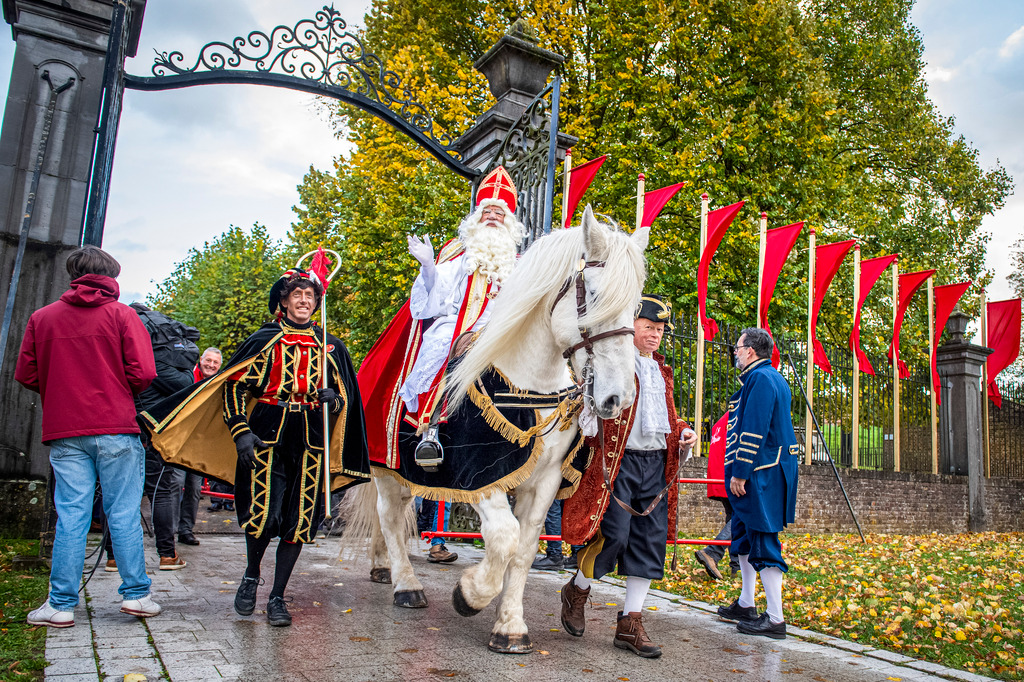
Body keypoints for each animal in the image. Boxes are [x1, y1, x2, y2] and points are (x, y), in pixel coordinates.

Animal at [344, 208, 647, 655]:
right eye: (592, 294)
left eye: (635, 304)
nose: (617, 397)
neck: (531, 386)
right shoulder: (481, 475)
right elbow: (504, 538)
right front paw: (470, 594)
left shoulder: (544, 480)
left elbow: (523, 550)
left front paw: (510, 626)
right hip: (385, 465)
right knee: (389, 515)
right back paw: (406, 584)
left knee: (396, 513)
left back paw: (384, 567)